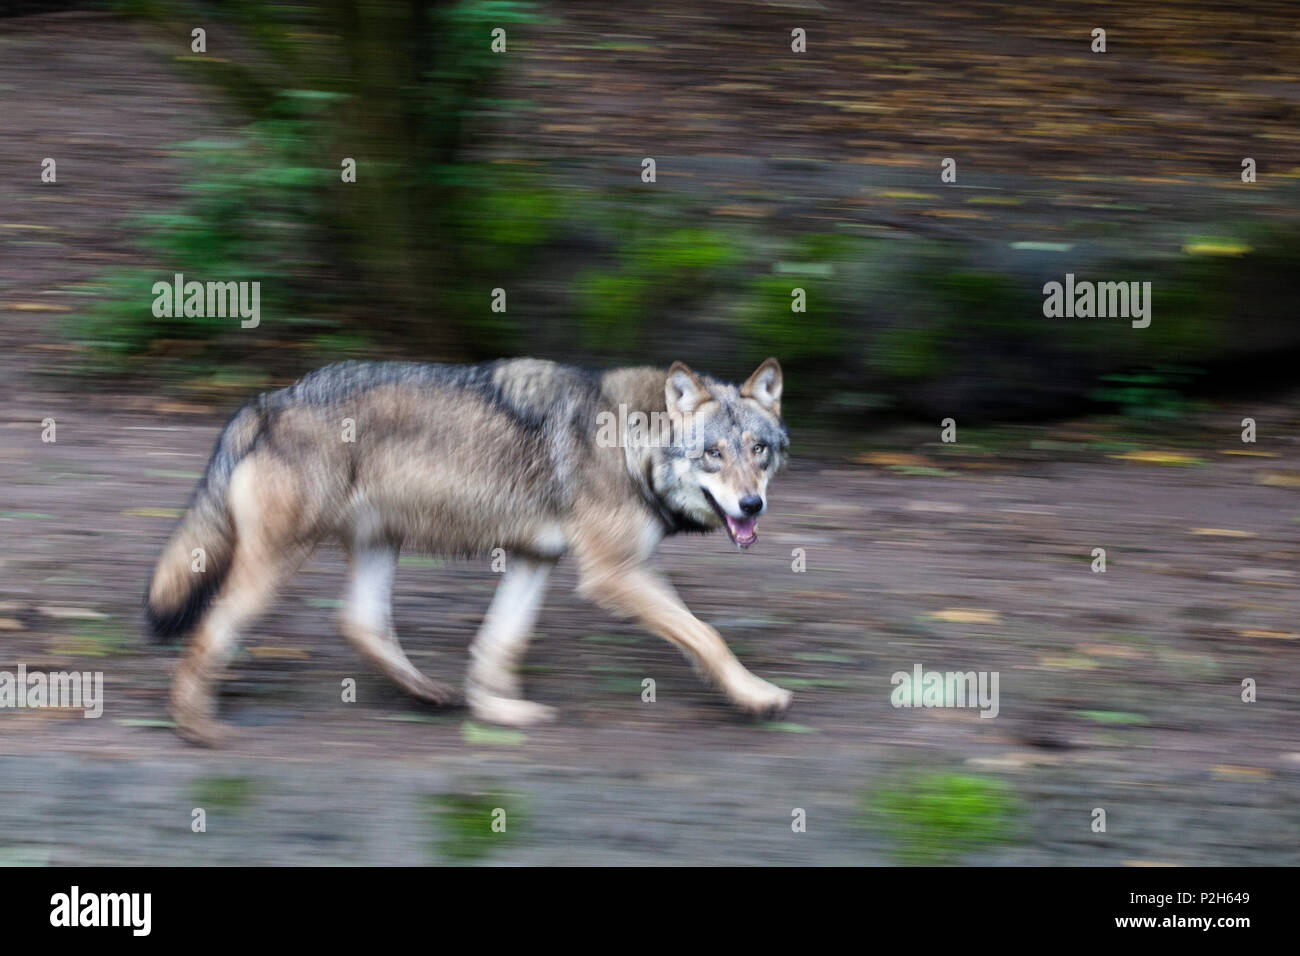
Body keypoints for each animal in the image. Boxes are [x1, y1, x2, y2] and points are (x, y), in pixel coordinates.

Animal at [142, 356, 790, 743]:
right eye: (714, 455)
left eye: (758, 450)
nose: (751, 505)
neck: (634, 444)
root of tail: (269, 401)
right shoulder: (613, 574)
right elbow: (708, 636)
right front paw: (757, 695)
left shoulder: (536, 559)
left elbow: (500, 643)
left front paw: (498, 713)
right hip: (277, 564)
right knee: (212, 630)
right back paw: (197, 728)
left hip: (379, 544)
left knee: (359, 624)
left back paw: (429, 693)